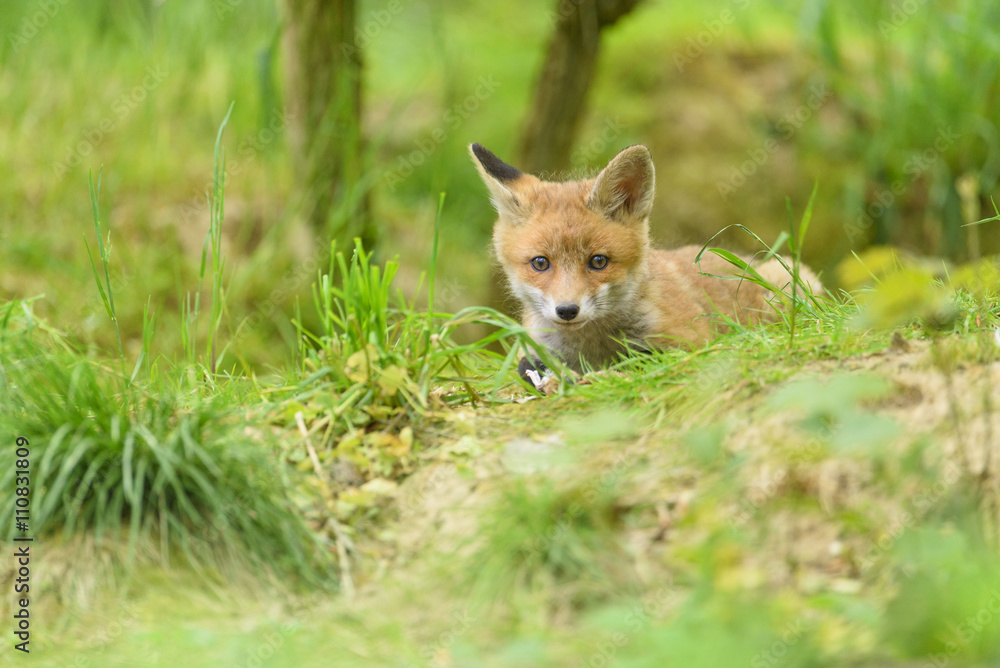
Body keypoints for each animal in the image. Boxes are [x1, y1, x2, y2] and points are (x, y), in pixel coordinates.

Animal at [469, 142, 822, 379]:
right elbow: (528, 365)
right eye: (541, 263)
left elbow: (644, 359)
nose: (567, 310)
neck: (590, 345)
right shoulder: (537, 348)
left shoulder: (691, 341)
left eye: (599, 261)